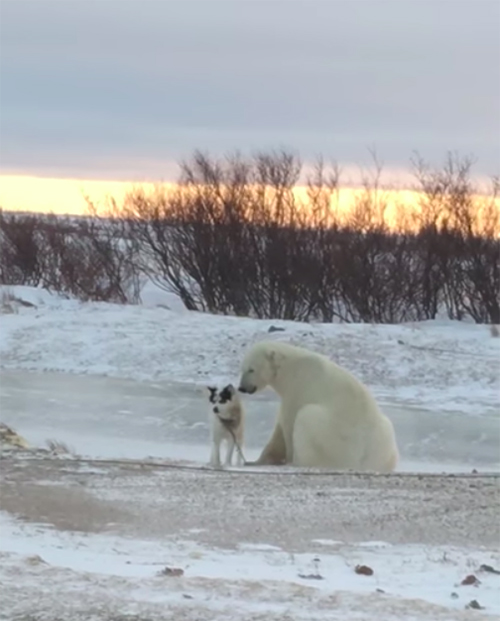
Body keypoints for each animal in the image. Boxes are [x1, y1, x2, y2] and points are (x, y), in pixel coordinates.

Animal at [237, 340, 398, 470]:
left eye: (251, 369)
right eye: (242, 368)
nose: (242, 388)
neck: (290, 368)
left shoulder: (297, 389)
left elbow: (287, 424)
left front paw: (281, 459)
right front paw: (256, 461)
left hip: (332, 436)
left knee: (305, 417)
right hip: (386, 437)